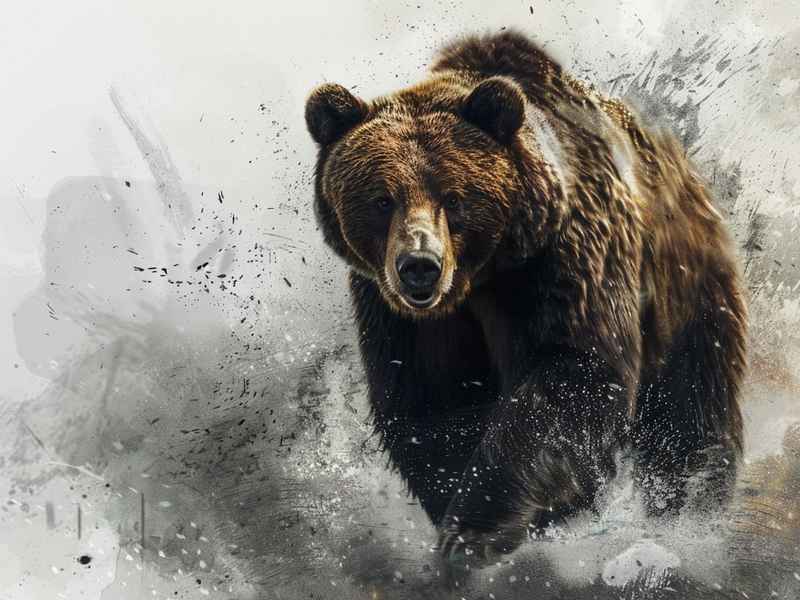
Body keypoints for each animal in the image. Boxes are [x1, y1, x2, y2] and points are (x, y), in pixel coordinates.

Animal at [304, 30, 747, 562]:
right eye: (381, 199)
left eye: (454, 197)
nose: (419, 266)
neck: (485, 274)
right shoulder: (403, 315)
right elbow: (432, 405)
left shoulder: (569, 260)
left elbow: (573, 381)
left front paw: (479, 526)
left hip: (686, 291)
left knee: (690, 410)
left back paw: (691, 506)